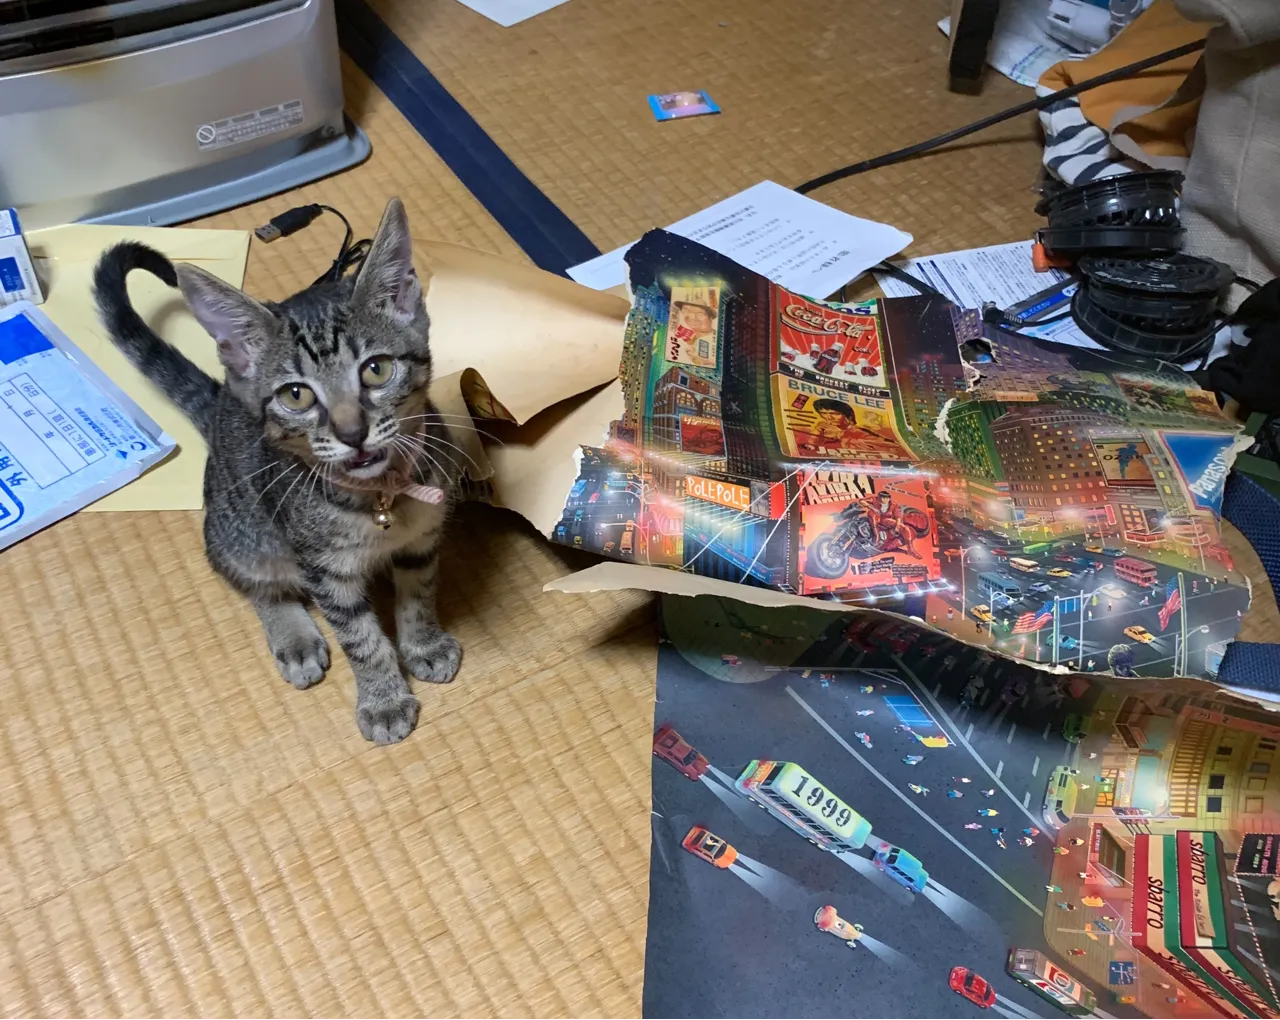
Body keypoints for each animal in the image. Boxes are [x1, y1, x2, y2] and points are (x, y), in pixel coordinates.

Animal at [93, 198, 461, 744]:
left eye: (376, 369)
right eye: (297, 395)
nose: (353, 432)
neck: (380, 497)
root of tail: (224, 398)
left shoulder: (423, 540)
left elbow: (419, 593)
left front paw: (424, 644)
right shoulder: (324, 571)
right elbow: (360, 637)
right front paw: (384, 699)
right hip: (244, 534)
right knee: (252, 577)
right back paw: (294, 635)